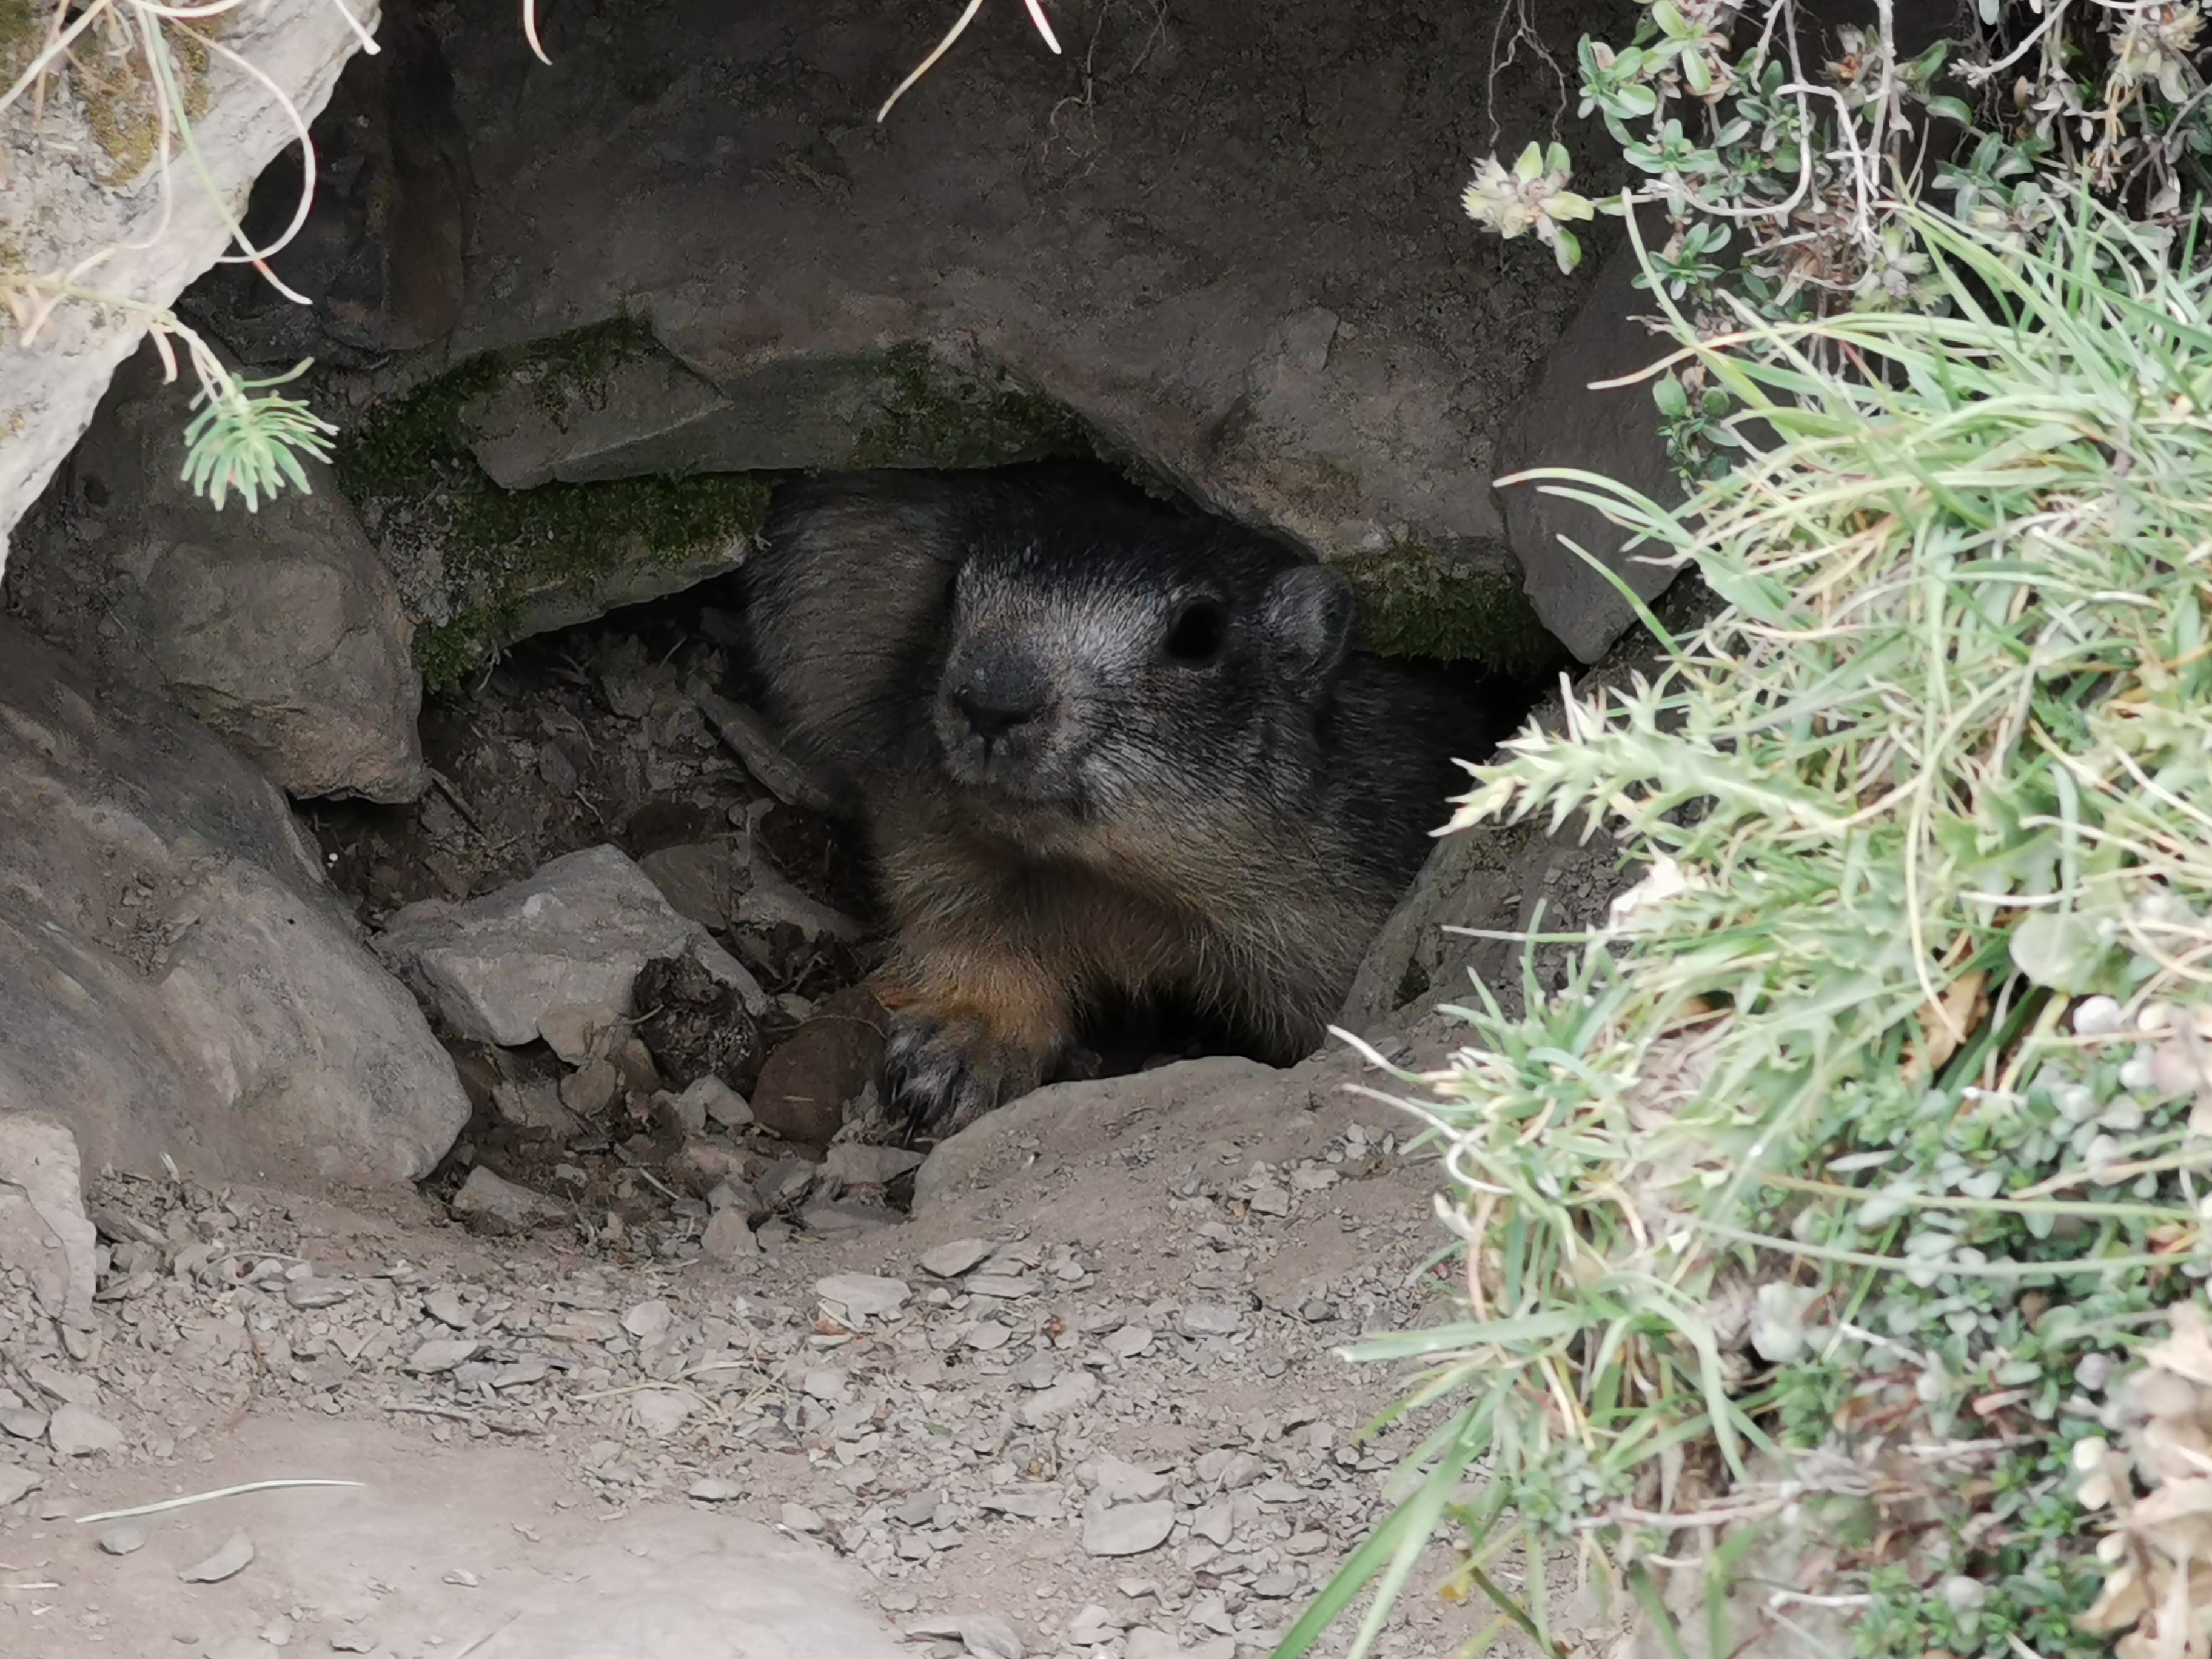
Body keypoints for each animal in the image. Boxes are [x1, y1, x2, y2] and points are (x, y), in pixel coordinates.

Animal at [738, 465, 1518, 1134]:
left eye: (1199, 633)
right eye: (953, 590)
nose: (991, 701)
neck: (1117, 883)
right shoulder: (925, 811)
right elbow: (951, 902)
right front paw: (953, 1054)